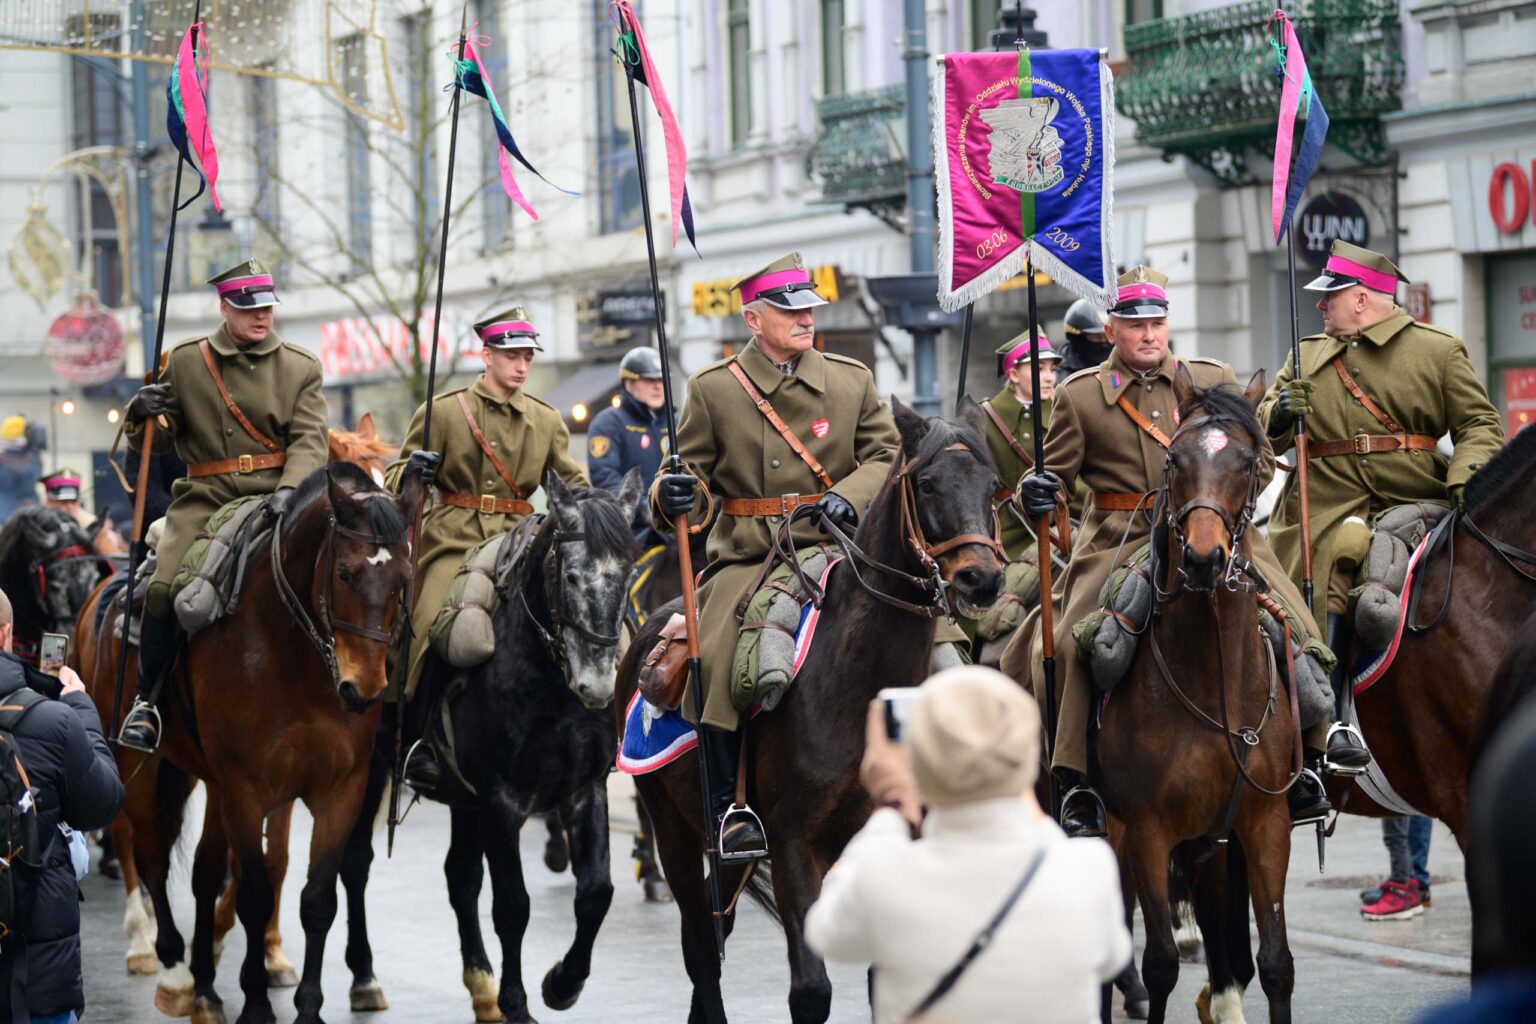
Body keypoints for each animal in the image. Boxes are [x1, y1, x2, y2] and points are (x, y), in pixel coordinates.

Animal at [82, 466, 420, 1024]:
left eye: (404, 582)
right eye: (346, 574)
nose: (365, 689)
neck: (297, 655)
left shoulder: (340, 789)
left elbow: (316, 897)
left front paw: (307, 1007)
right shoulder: (246, 790)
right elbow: (255, 893)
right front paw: (257, 1003)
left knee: (203, 870)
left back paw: (204, 984)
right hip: (140, 764)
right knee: (149, 854)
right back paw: (173, 972)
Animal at [339, 469, 645, 1024]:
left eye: (628, 573)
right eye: (571, 577)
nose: (595, 685)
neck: (548, 678)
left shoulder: (583, 790)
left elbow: (595, 894)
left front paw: (562, 983)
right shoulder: (503, 802)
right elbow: (513, 906)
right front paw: (518, 1002)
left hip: (464, 798)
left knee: (460, 877)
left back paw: (480, 985)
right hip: (371, 768)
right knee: (356, 862)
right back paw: (365, 977)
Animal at [611, 399, 1007, 1024]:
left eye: (993, 487)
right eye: (926, 483)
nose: (981, 578)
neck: (862, 686)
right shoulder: (794, 845)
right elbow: (812, 990)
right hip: (673, 827)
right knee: (699, 944)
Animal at [1099, 369, 1302, 1024]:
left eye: (1249, 462)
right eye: (1175, 459)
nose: (1205, 558)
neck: (1210, 686)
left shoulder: (1264, 824)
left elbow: (1275, 961)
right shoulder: (1145, 830)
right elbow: (1158, 963)